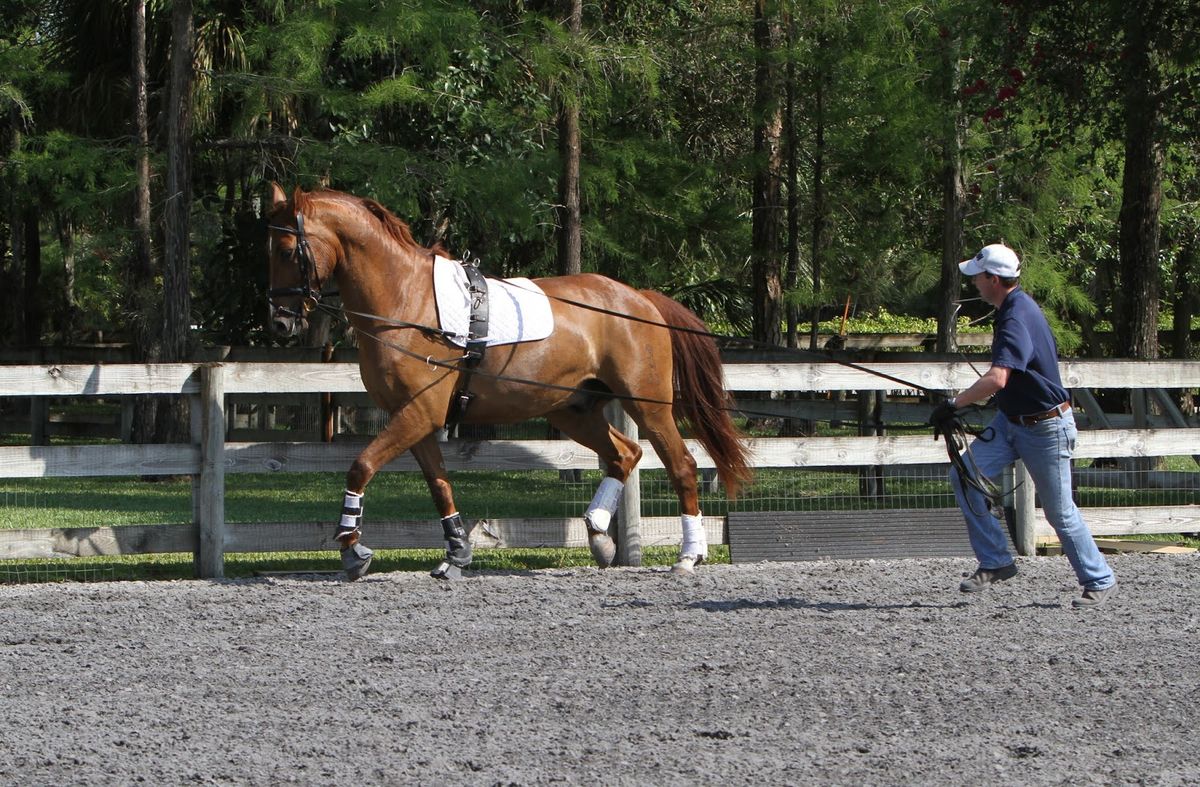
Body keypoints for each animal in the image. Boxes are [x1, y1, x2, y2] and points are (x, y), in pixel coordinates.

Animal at [270, 182, 748, 578]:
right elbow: (439, 484)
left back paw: (688, 556)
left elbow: (361, 465)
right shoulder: (416, 418)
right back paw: (598, 535)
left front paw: (352, 548)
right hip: (573, 409)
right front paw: (456, 554)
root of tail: (640, 299)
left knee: (681, 464)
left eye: (287, 249)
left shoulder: (419, 412)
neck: (405, 301)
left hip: (646, 404)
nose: (280, 323)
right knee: (625, 454)